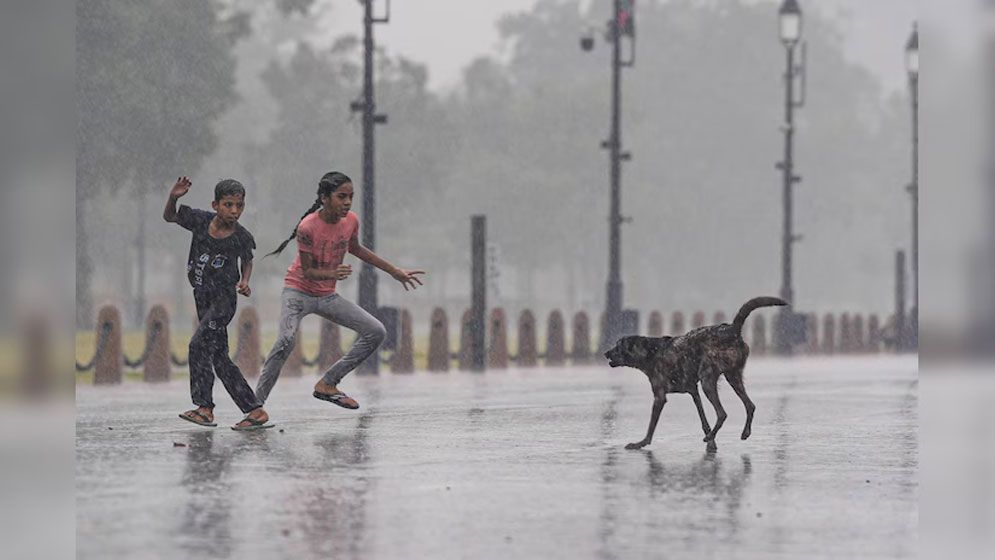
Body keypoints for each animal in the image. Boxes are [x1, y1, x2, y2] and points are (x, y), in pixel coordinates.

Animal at [608, 298, 784, 450]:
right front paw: (712, 444)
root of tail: (731, 329)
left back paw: (713, 435)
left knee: (722, 413)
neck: (650, 352)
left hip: (708, 381)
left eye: (617, 346)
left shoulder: (660, 397)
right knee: (750, 405)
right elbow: (704, 421)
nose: (605, 353)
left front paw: (641, 443)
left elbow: (651, 426)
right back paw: (744, 432)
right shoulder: (694, 392)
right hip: (733, 377)